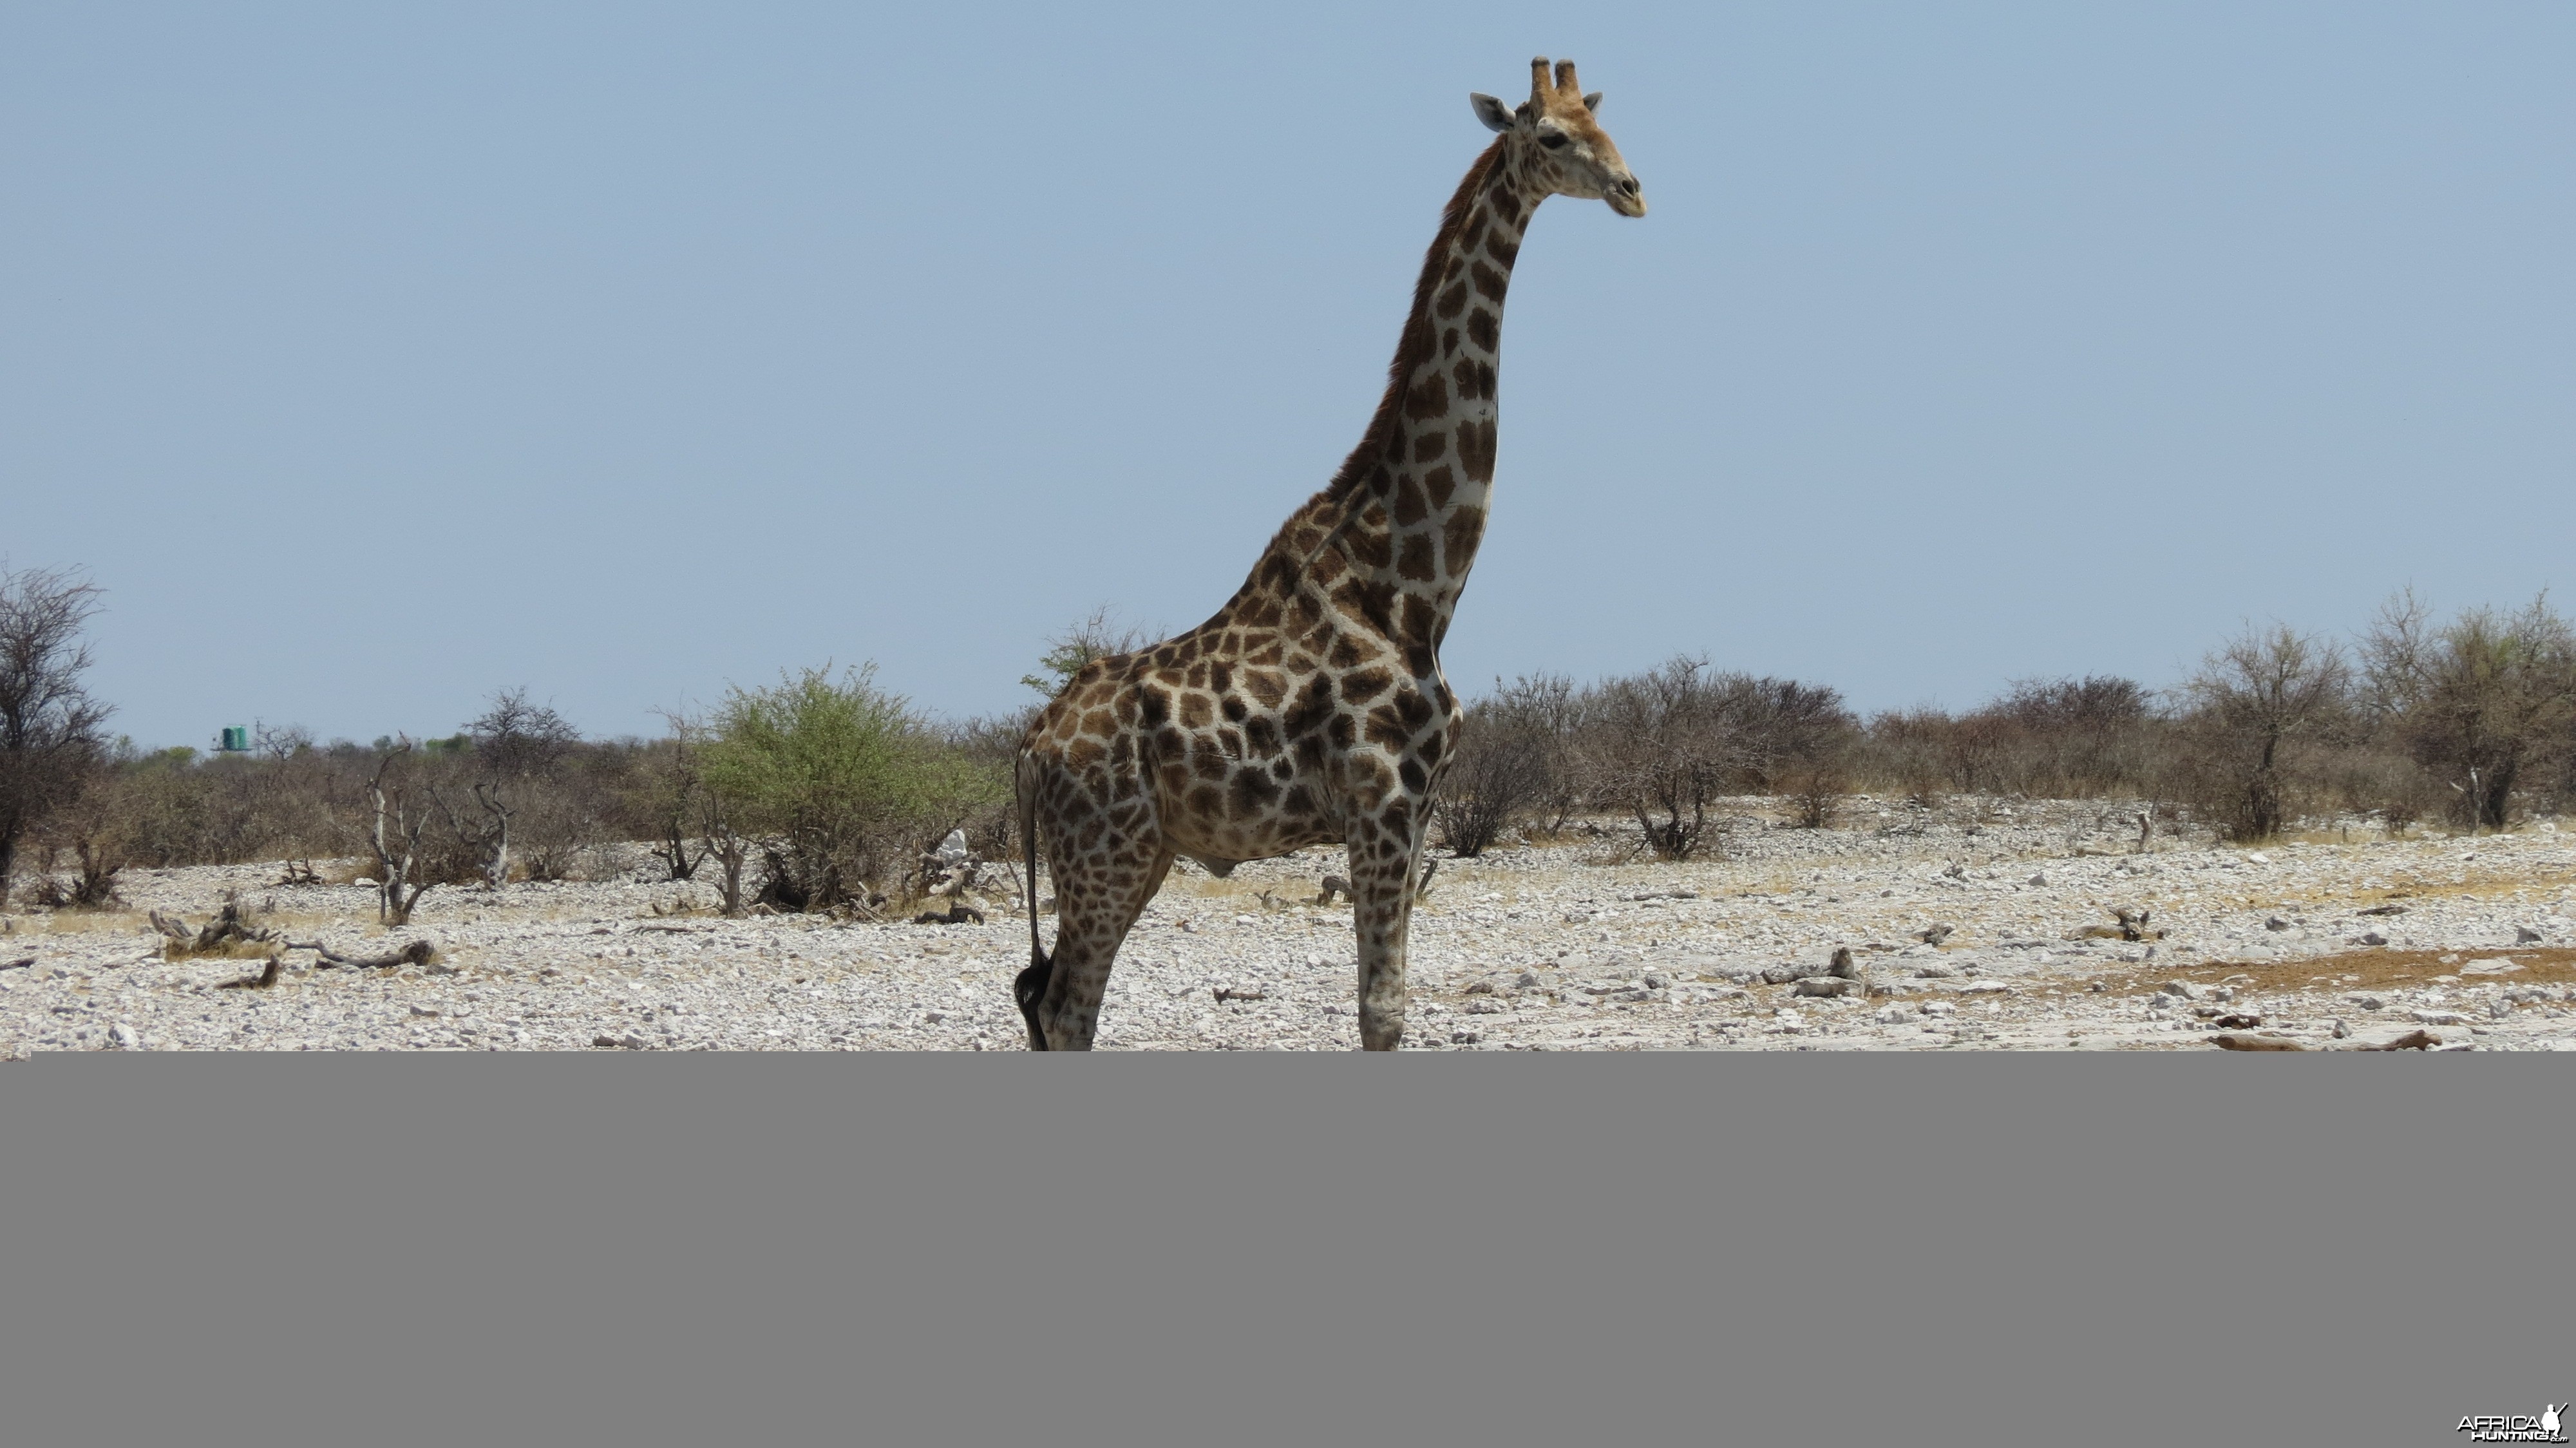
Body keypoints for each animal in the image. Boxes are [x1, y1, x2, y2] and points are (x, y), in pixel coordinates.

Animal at [1010, 59, 1638, 1046]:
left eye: (1604, 125)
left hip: (1143, 855)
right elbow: (1381, 1011)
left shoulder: (1421, 807)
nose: (1631, 189)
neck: (1416, 587)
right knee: (1066, 1007)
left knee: (1044, 999)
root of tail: (1030, 749)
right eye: (1552, 136)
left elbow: (1387, 1002)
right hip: (1104, 853)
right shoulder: (1381, 802)